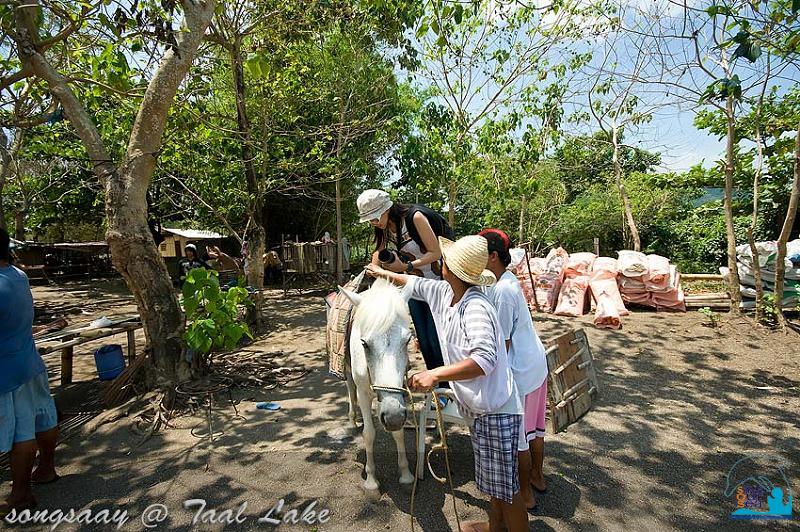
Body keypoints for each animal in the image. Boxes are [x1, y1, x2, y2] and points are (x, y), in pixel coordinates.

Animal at [340, 278, 416, 498]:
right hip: (347, 371)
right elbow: (369, 434)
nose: (392, 417)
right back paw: (352, 420)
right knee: (350, 388)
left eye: (408, 340)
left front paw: (406, 475)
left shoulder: (399, 395)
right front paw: (372, 481)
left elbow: (399, 433)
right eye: (364, 344)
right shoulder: (365, 395)